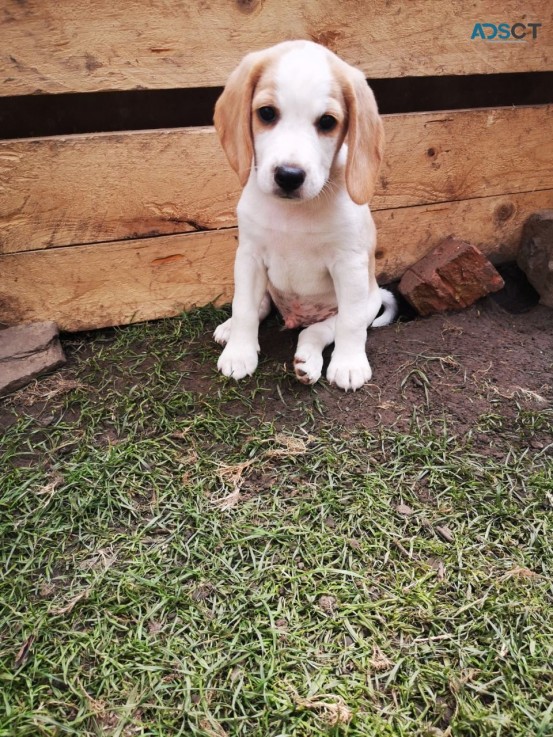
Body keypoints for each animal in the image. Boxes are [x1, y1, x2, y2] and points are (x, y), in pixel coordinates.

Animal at [212, 38, 396, 392]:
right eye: (267, 113)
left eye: (327, 122)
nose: (289, 175)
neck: (294, 214)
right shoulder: (249, 256)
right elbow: (244, 308)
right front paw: (239, 353)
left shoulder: (349, 266)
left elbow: (351, 325)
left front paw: (349, 364)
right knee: (258, 307)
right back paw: (229, 329)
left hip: (358, 303)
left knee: (317, 332)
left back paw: (307, 363)